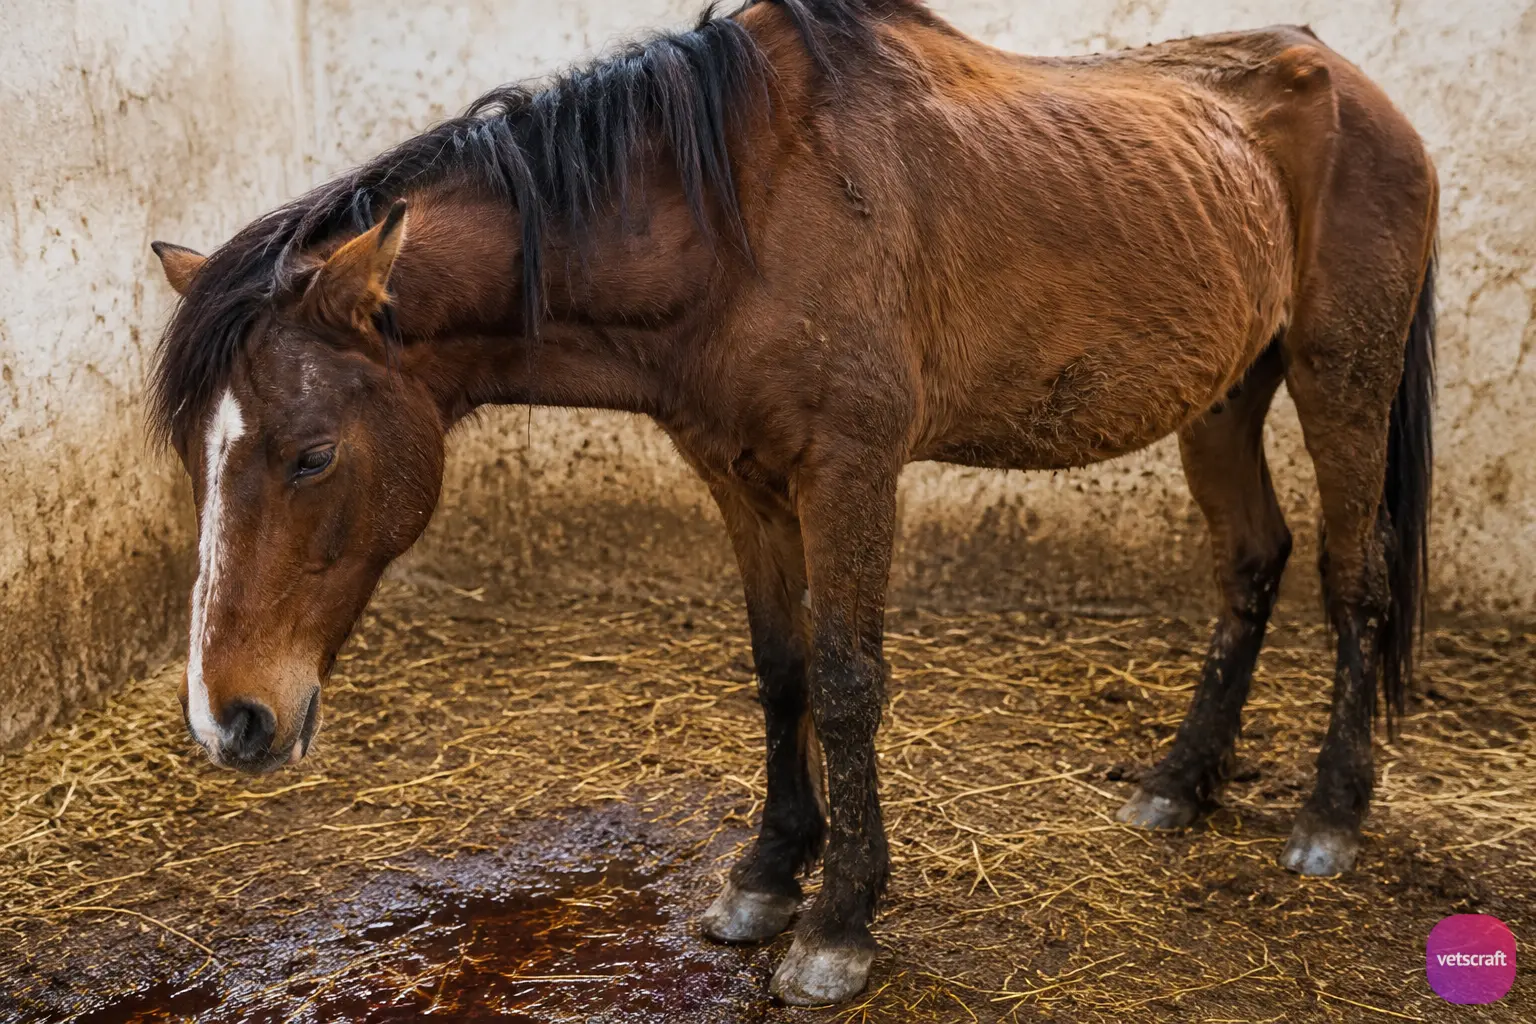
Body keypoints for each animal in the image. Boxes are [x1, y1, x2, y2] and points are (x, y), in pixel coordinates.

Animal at [146, 0, 1437, 1005]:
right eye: (199, 460)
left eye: (312, 455)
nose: (231, 719)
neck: (737, 215)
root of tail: (1358, 89)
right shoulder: (741, 477)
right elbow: (782, 670)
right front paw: (767, 876)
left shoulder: (849, 471)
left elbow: (850, 680)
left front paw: (839, 926)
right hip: (1222, 392)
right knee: (1252, 560)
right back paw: (1179, 782)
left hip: (1340, 374)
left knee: (1353, 574)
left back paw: (1331, 815)